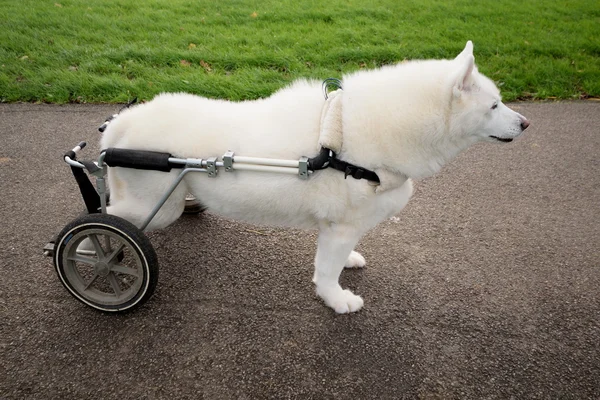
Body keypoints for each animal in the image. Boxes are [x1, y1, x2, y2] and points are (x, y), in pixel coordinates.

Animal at [99, 42, 528, 314]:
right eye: (493, 105)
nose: (526, 123)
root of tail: (118, 126)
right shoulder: (342, 226)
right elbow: (327, 272)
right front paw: (337, 300)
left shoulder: (337, 227)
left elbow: (334, 258)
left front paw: (347, 265)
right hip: (153, 206)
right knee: (105, 219)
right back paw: (98, 254)